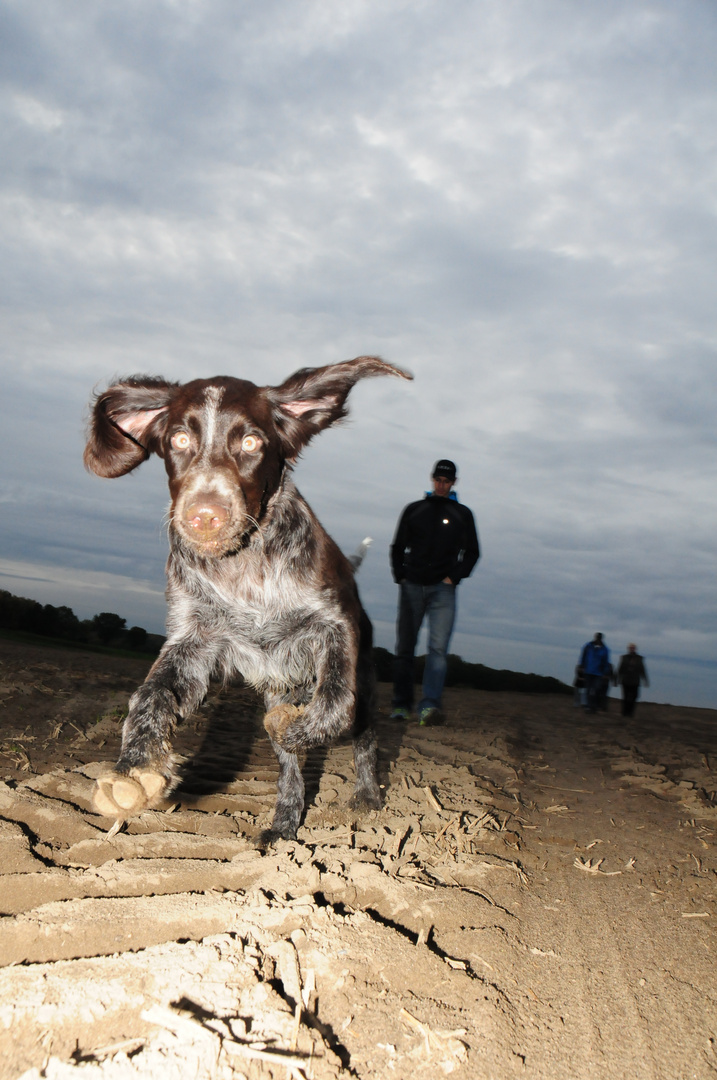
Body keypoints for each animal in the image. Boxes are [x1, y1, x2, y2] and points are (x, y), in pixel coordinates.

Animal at [84, 358, 412, 838]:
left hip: (363, 677)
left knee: (362, 735)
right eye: (179, 439)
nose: (204, 515)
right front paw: (134, 768)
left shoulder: (335, 626)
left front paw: (296, 727)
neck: (243, 568)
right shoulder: (194, 640)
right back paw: (284, 826)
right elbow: (151, 696)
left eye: (252, 441)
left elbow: (332, 706)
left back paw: (367, 796)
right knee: (290, 771)